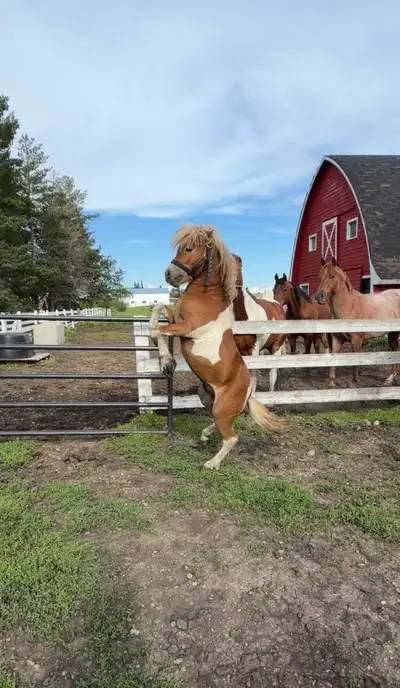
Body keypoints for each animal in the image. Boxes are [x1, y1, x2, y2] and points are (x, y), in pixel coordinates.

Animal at [315, 257, 400, 387]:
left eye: (332, 276)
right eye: (320, 276)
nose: (319, 297)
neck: (350, 306)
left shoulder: (356, 340)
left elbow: (355, 362)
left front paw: (354, 383)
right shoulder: (337, 339)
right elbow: (333, 359)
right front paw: (331, 383)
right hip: (393, 334)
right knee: (395, 351)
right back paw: (390, 378)